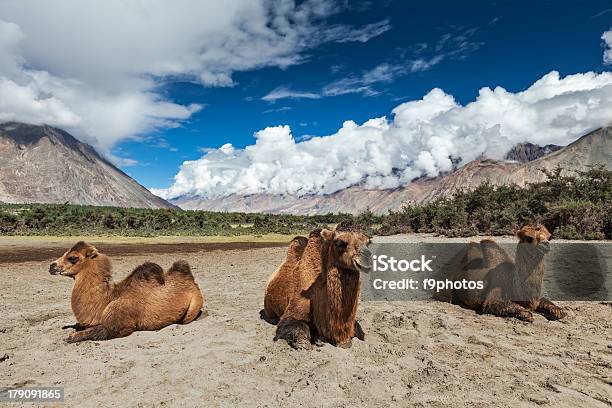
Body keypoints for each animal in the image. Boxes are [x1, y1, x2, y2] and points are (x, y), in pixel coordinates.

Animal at [49, 241, 204, 342]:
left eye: (73, 258)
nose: (51, 266)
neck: (105, 302)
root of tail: (191, 280)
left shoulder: (120, 325)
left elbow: (97, 332)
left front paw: (71, 336)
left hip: (194, 305)